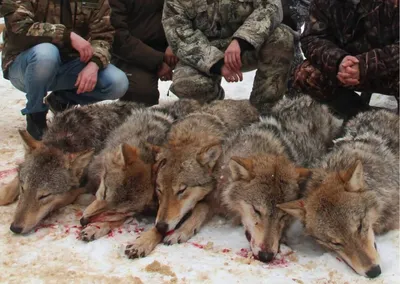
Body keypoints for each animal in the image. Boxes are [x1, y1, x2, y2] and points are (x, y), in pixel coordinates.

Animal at [0, 101, 141, 234]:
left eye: (44, 196)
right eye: (23, 188)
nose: (15, 228)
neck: (65, 138)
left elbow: (70, 195)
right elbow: (12, 185)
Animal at [123, 98, 260, 258]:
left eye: (181, 190)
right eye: (159, 190)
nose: (162, 226)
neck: (189, 137)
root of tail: (246, 102)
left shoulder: (213, 198)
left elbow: (199, 209)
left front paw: (180, 232)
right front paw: (142, 242)